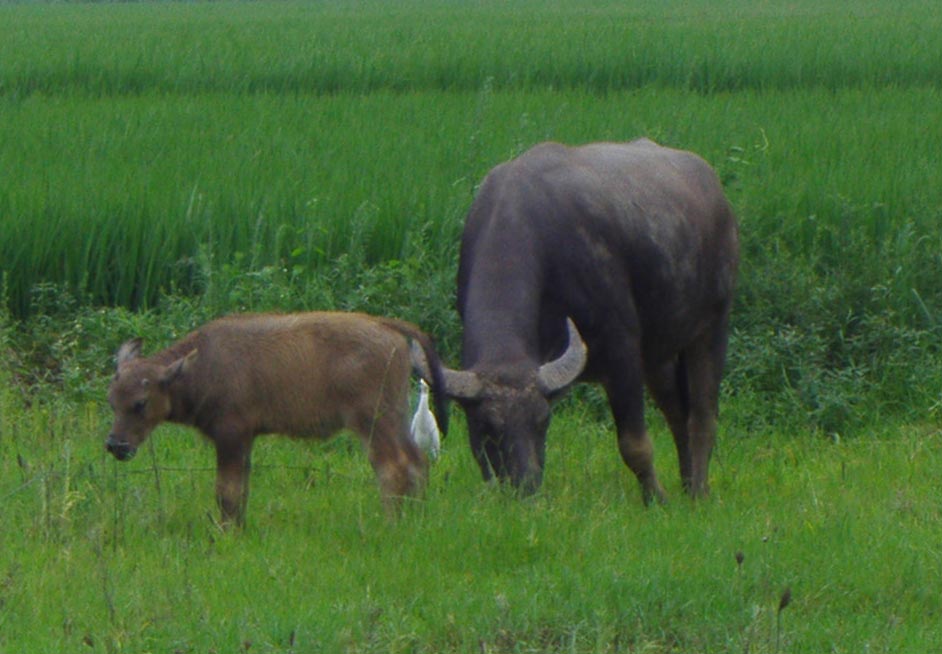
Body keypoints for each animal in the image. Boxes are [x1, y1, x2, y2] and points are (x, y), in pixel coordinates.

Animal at [107, 312, 450, 528]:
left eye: (140, 403)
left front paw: (226, 531)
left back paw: (390, 522)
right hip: (397, 418)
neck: (198, 367)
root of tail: (386, 327)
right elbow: (240, 491)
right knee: (417, 461)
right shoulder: (245, 440)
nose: (115, 445)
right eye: (112, 399)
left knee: (392, 467)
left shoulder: (231, 435)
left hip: (372, 423)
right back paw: (417, 516)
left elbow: (226, 492)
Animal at [440, 141, 736, 504]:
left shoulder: (622, 351)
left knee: (702, 417)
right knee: (678, 415)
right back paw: (686, 482)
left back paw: (698, 492)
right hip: (660, 355)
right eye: (487, 426)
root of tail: (715, 191)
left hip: (713, 325)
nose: (526, 485)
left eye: (542, 421)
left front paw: (656, 498)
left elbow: (635, 445)